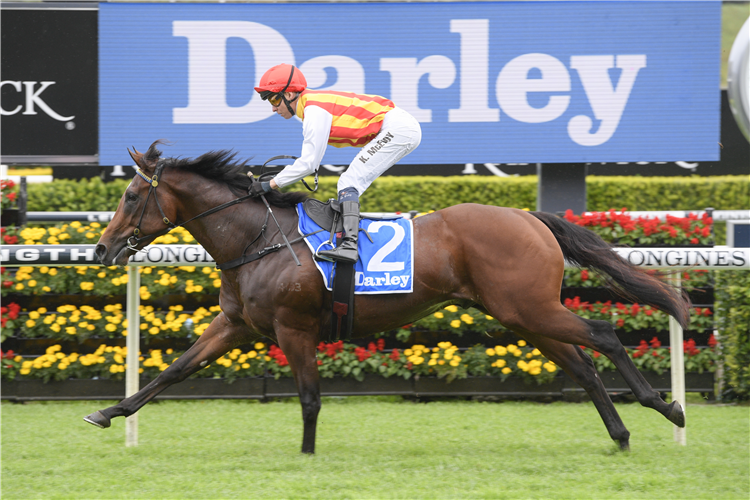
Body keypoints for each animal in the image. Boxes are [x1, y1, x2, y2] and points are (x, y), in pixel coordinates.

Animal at [83, 142, 692, 454]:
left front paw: (306, 456)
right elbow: (173, 371)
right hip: (523, 315)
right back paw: (622, 434)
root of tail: (529, 216)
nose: (101, 247)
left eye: (132, 195)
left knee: (604, 336)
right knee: (583, 366)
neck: (258, 238)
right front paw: (109, 412)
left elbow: (309, 398)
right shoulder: (235, 324)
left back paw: (666, 406)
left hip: (529, 308)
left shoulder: (293, 328)